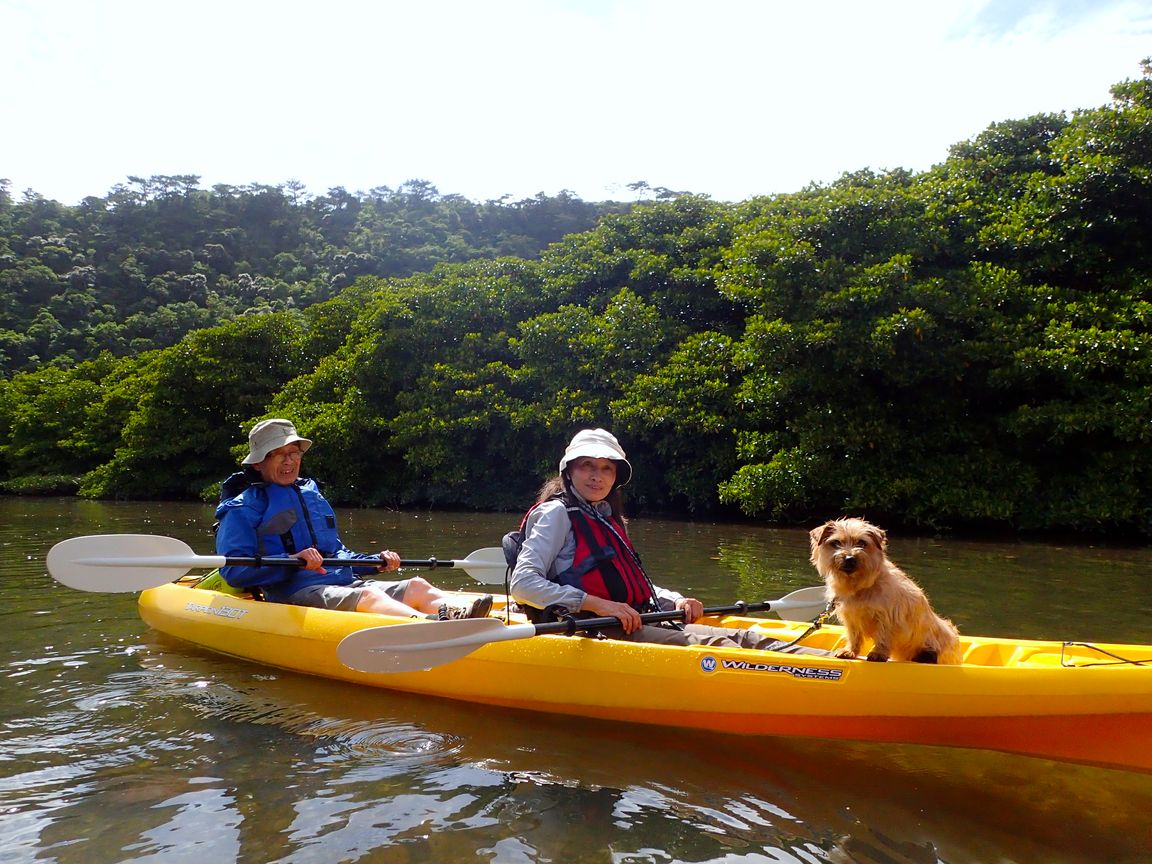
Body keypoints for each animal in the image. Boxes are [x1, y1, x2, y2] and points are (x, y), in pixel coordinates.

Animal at [811, 518, 963, 668]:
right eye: (836, 543)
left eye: (862, 542)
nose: (850, 558)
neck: (861, 585)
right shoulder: (851, 618)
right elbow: (854, 636)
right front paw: (850, 651)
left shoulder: (888, 617)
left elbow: (883, 636)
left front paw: (878, 653)